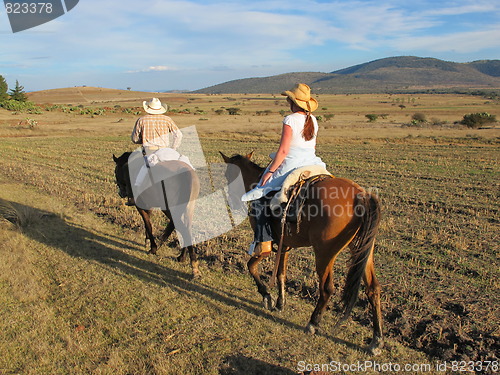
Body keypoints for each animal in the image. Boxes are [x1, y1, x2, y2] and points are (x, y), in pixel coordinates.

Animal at [220, 152, 382, 356]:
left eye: (228, 175)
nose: (233, 203)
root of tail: (362, 195)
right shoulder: (284, 244)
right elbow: (281, 273)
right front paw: (280, 303)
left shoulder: (265, 244)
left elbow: (251, 266)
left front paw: (266, 296)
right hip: (362, 251)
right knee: (373, 289)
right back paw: (376, 340)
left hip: (324, 253)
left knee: (327, 288)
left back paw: (312, 323)